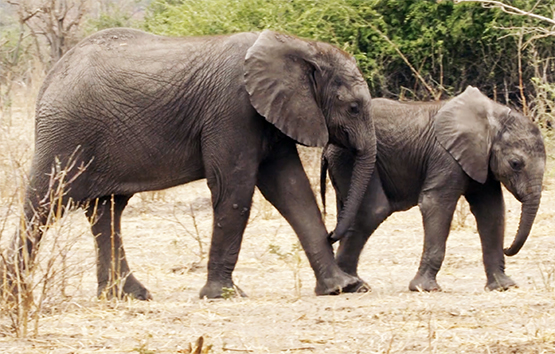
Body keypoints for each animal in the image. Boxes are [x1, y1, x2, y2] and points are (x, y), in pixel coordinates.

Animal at [7, 28, 378, 298]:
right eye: (354, 108)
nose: (334, 232)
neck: (299, 46)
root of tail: (51, 76)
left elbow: (292, 190)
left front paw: (343, 288)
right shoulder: (233, 110)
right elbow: (234, 190)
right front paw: (223, 295)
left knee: (107, 211)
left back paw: (128, 296)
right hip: (66, 133)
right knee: (45, 204)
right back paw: (15, 295)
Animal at [324, 87, 544, 292]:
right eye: (515, 164)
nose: (508, 248)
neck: (495, 118)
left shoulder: (481, 160)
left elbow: (491, 211)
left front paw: (503, 286)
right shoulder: (445, 155)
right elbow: (436, 204)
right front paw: (425, 288)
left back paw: (353, 284)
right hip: (350, 157)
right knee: (372, 210)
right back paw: (351, 285)